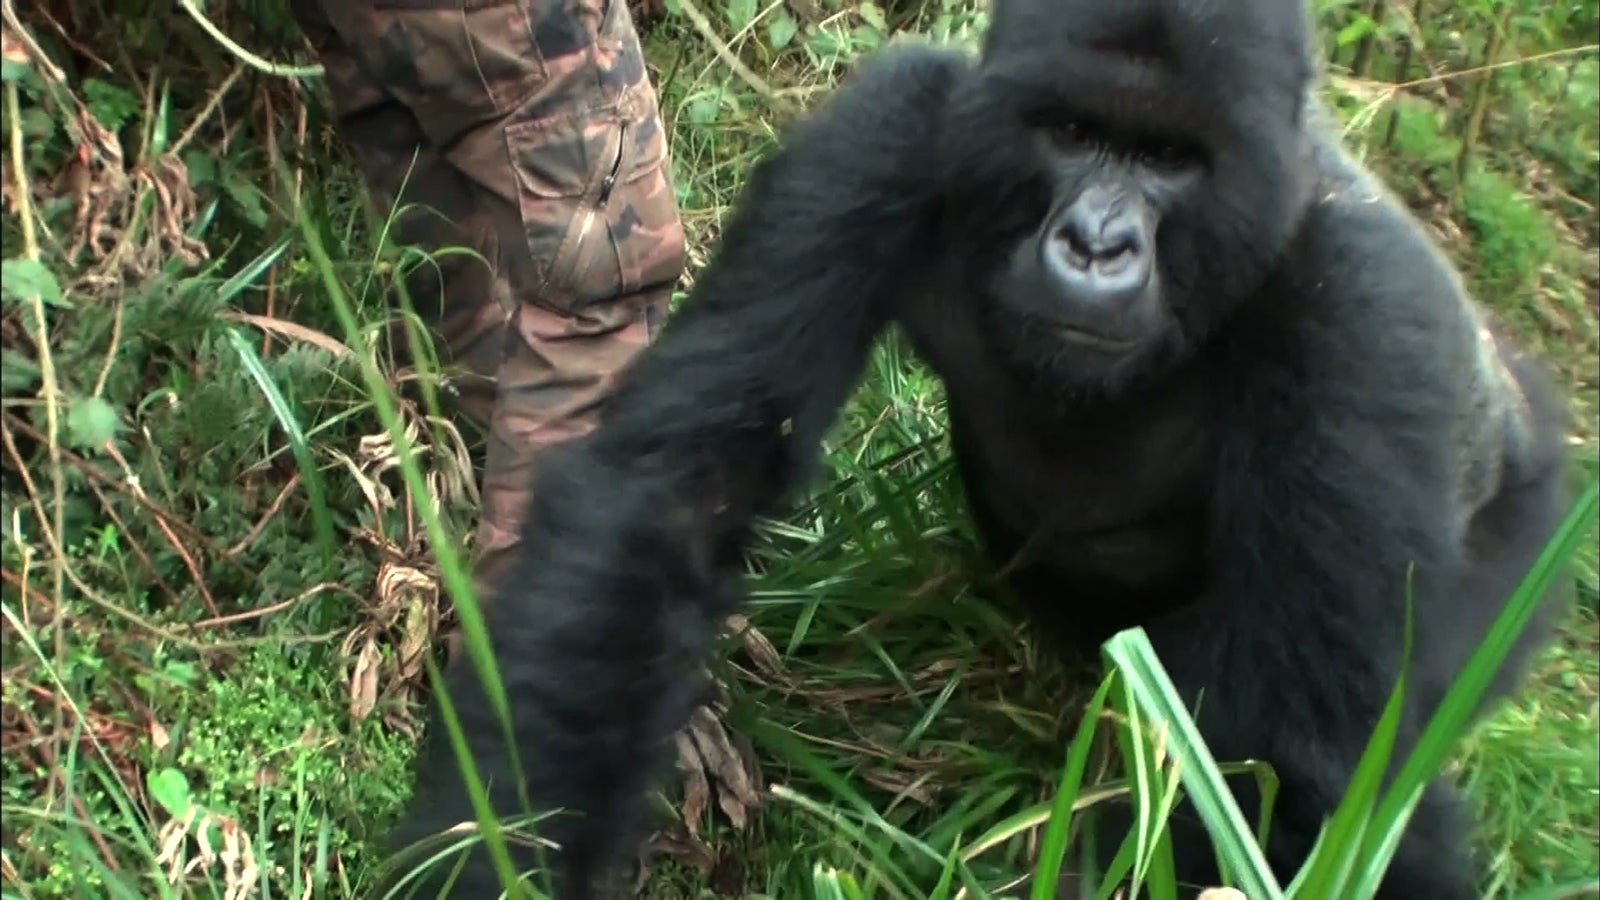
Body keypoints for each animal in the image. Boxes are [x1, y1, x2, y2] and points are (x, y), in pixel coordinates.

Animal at [380, 1, 1568, 896]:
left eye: (1167, 159)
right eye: (1073, 134)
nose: (1096, 243)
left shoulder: (1363, 302)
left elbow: (1294, 753)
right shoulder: (888, 129)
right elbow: (669, 495)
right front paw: (490, 858)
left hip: (1532, 547)